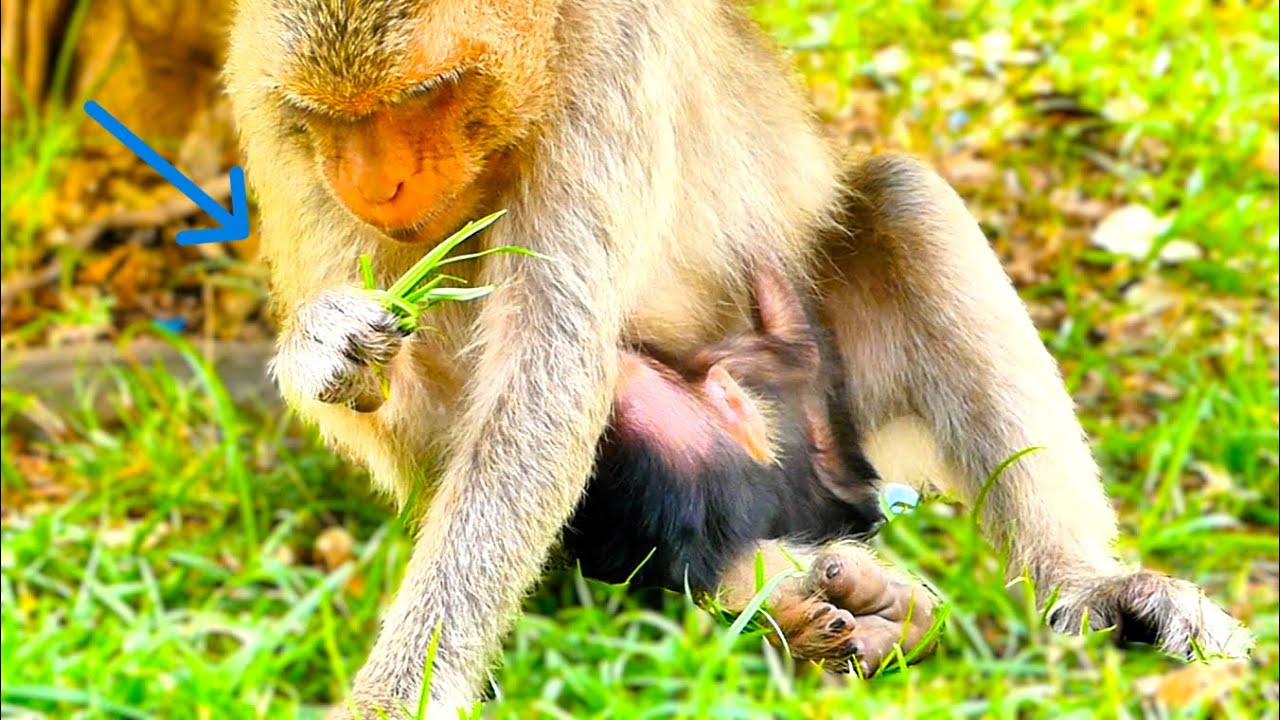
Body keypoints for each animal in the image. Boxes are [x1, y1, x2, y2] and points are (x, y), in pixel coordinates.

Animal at [222, 1, 1252, 717]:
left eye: (426, 96)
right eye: (333, 116)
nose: (376, 185)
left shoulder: (611, 67)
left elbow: (542, 387)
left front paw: (398, 696)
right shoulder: (269, 107)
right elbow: (443, 420)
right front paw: (332, 347)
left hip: (845, 411)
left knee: (902, 202)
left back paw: (1079, 581)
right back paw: (783, 594)